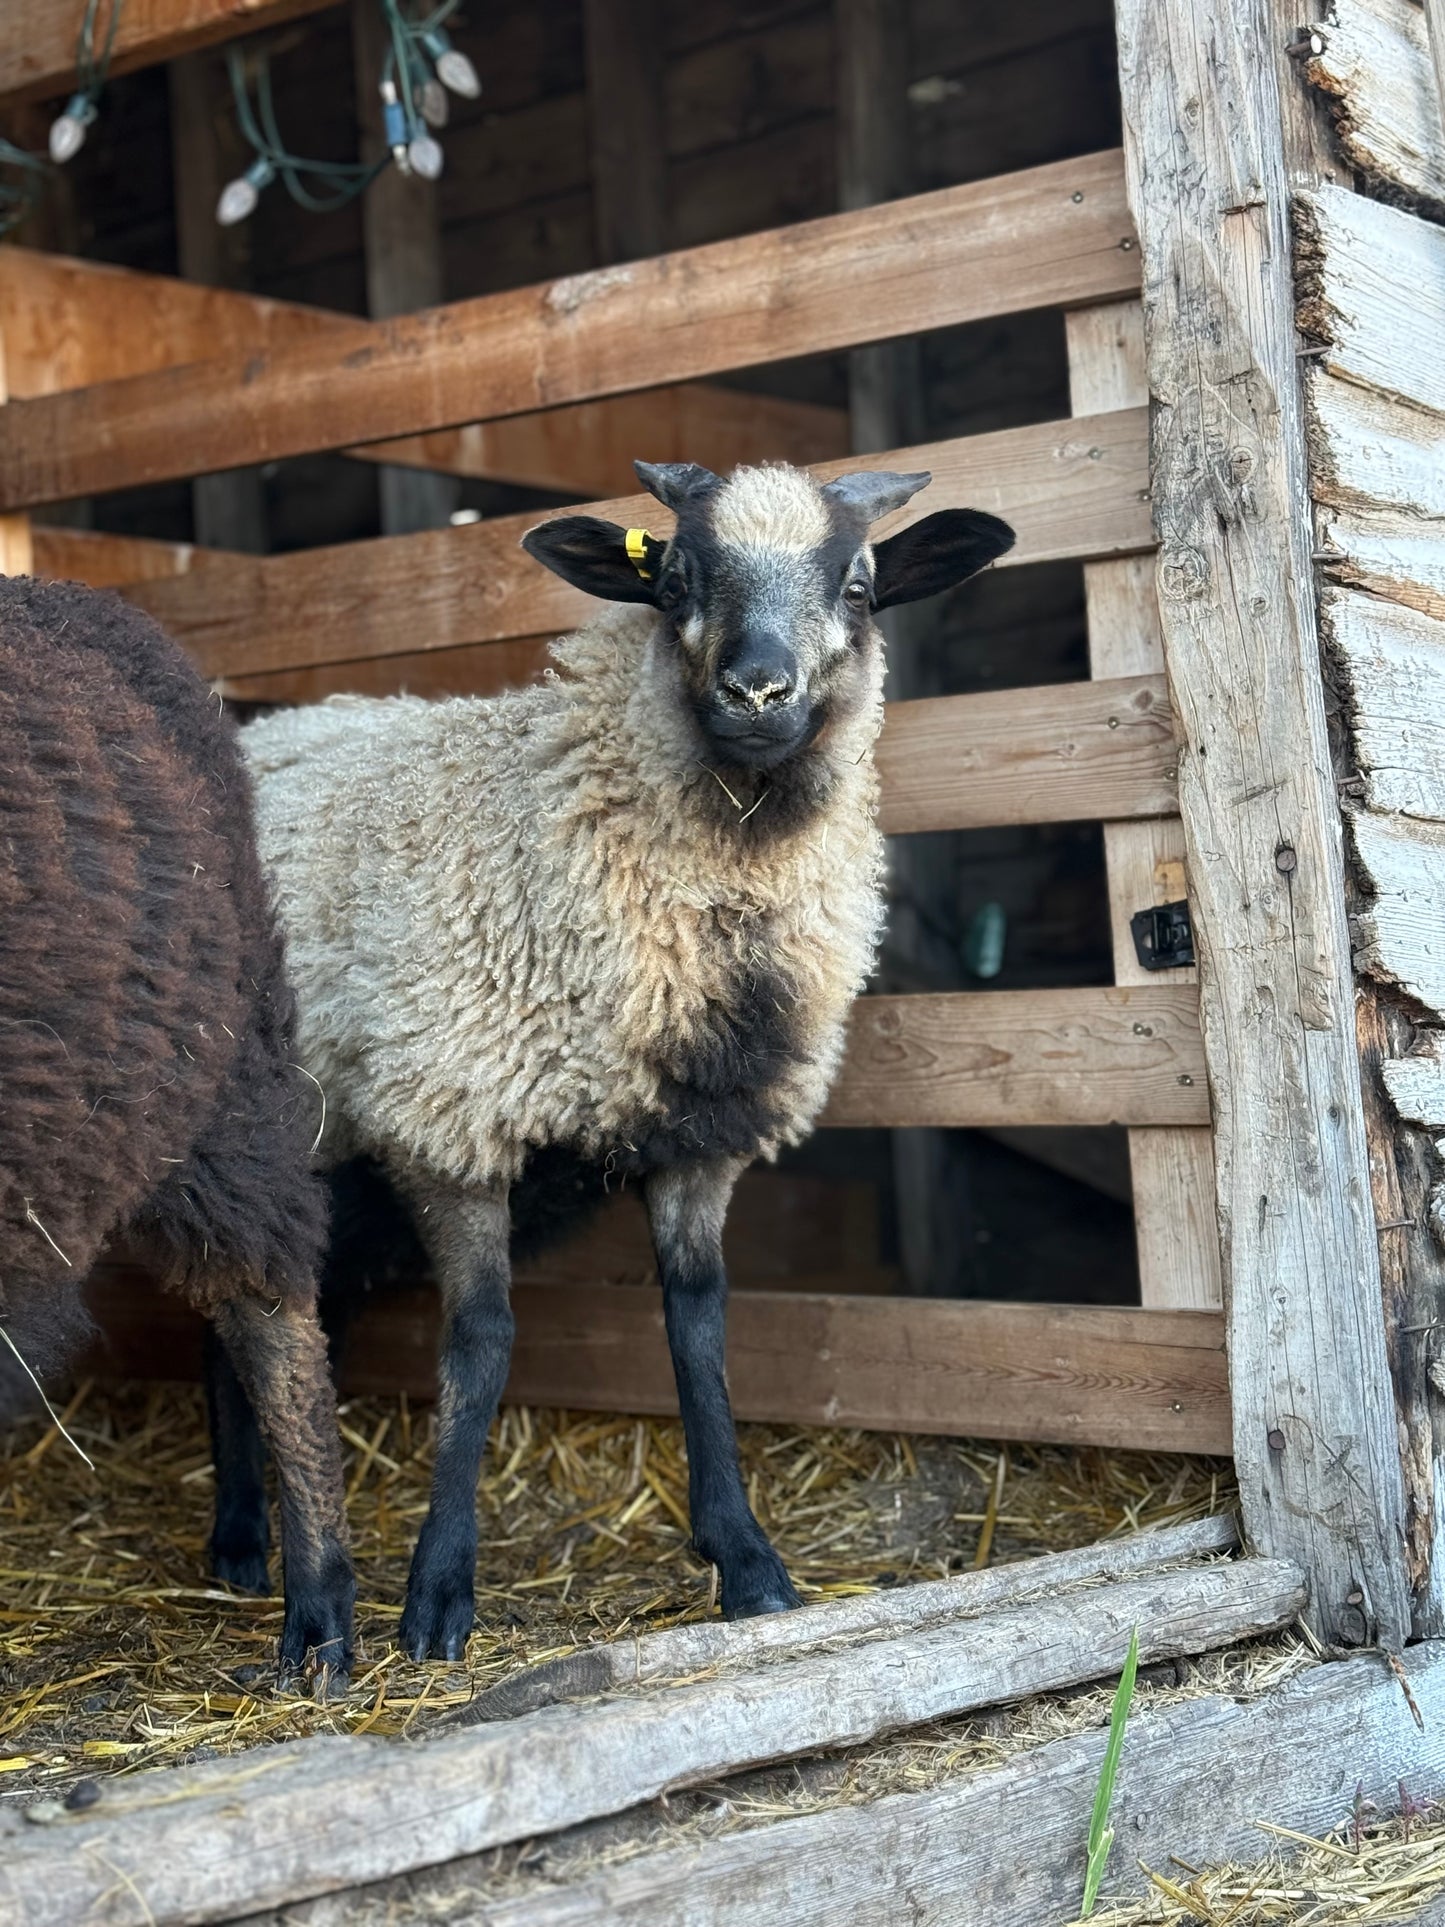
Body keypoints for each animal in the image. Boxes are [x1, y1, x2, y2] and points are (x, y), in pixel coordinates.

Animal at [229, 460, 1014, 1660]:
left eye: (859, 585)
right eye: (676, 577)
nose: (757, 691)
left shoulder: (699, 1135)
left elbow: (698, 1326)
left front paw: (746, 1562)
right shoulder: (447, 1114)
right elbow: (480, 1340)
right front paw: (438, 1594)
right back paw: (237, 1544)